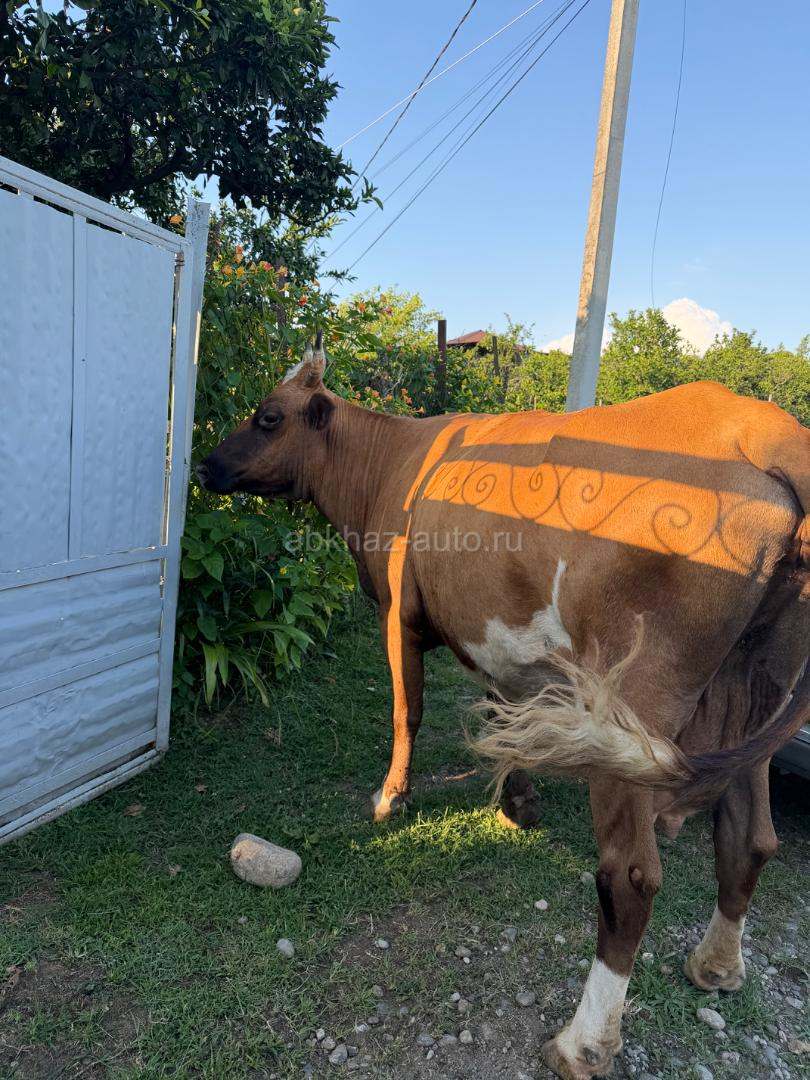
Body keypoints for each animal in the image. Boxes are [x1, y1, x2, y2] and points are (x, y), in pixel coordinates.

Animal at [197, 336, 809, 1080]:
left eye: (266, 418)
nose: (205, 464)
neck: (387, 463)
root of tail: (763, 423)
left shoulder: (399, 613)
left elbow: (408, 710)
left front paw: (391, 796)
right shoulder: (487, 627)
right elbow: (499, 704)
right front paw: (518, 801)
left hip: (633, 705)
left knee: (631, 876)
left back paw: (582, 1043)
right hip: (756, 690)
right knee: (750, 838)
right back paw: (715, 965)